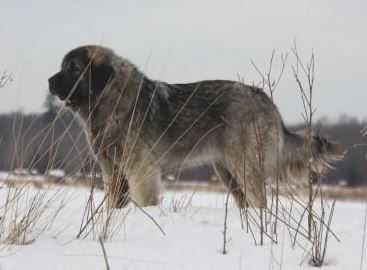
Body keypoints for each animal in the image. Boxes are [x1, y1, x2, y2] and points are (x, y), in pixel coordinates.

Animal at [49, 44, 344, 209]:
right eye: (63, 67)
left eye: (73, 68)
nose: (50, 81)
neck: (112, 100)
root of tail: (263, 98)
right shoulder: (113, 170)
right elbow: (114, 202)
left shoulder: (140, 169)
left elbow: (143, 198)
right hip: (227, 172)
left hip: (245, 167)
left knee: (260, 201)